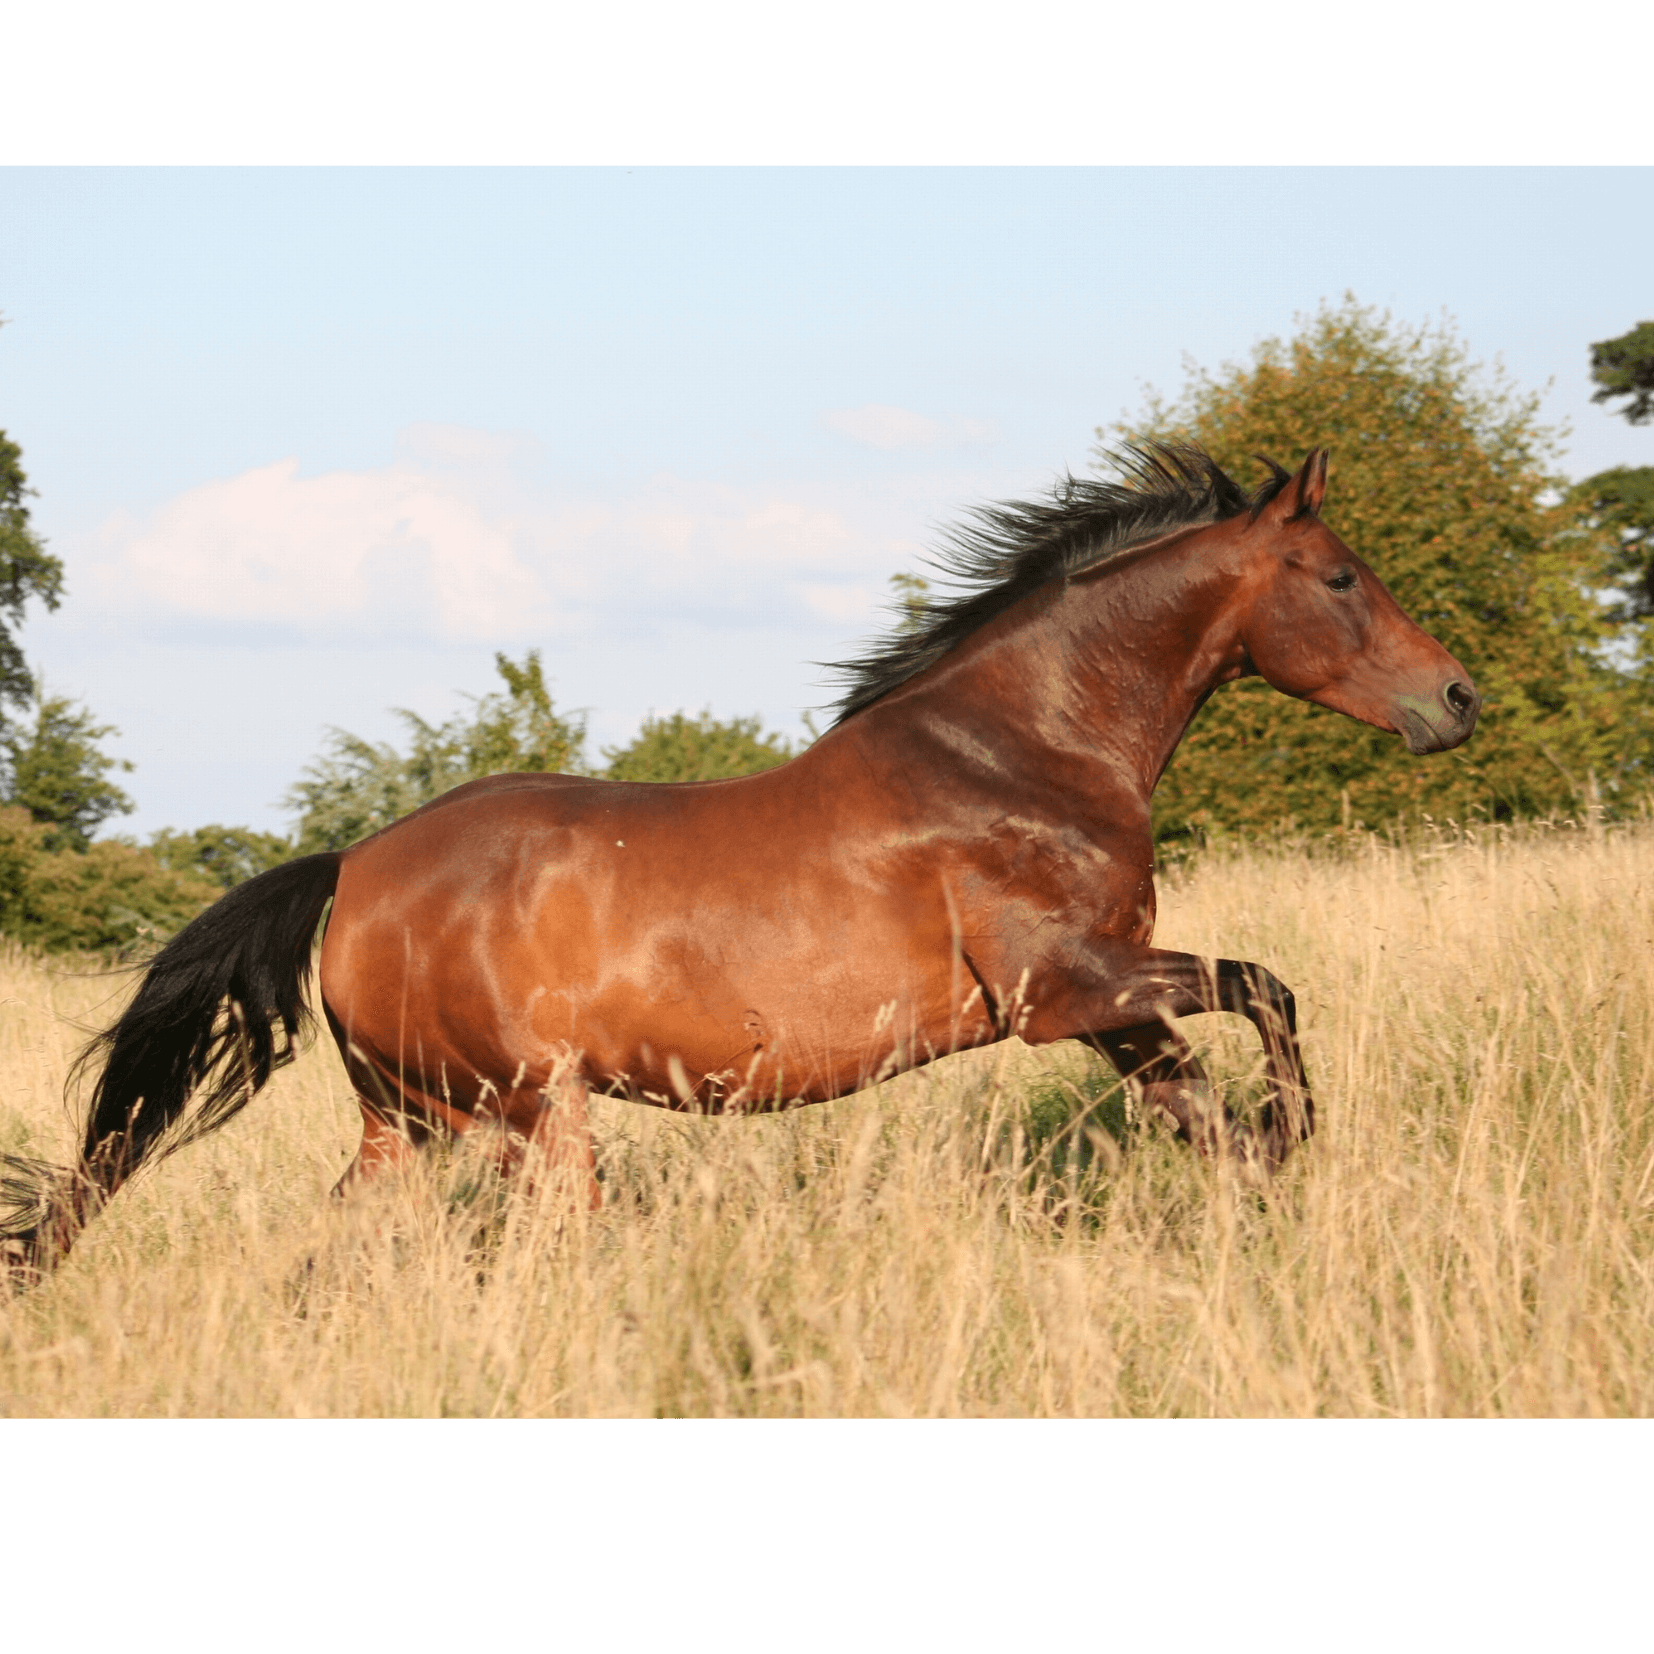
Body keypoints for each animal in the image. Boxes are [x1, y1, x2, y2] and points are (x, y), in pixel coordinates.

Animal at [1, 443, 1480, 1279]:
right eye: (1338, 576)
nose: (1456, 700)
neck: (1022, 751)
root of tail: (354, 871)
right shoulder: (1063, 989)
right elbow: (1267, 987)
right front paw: (1297, 1136)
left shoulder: (1110, 1007)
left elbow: (1209, 1113)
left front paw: (1271, 1188)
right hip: (533, 1116)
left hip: (409, 1124)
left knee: (329, 1261)